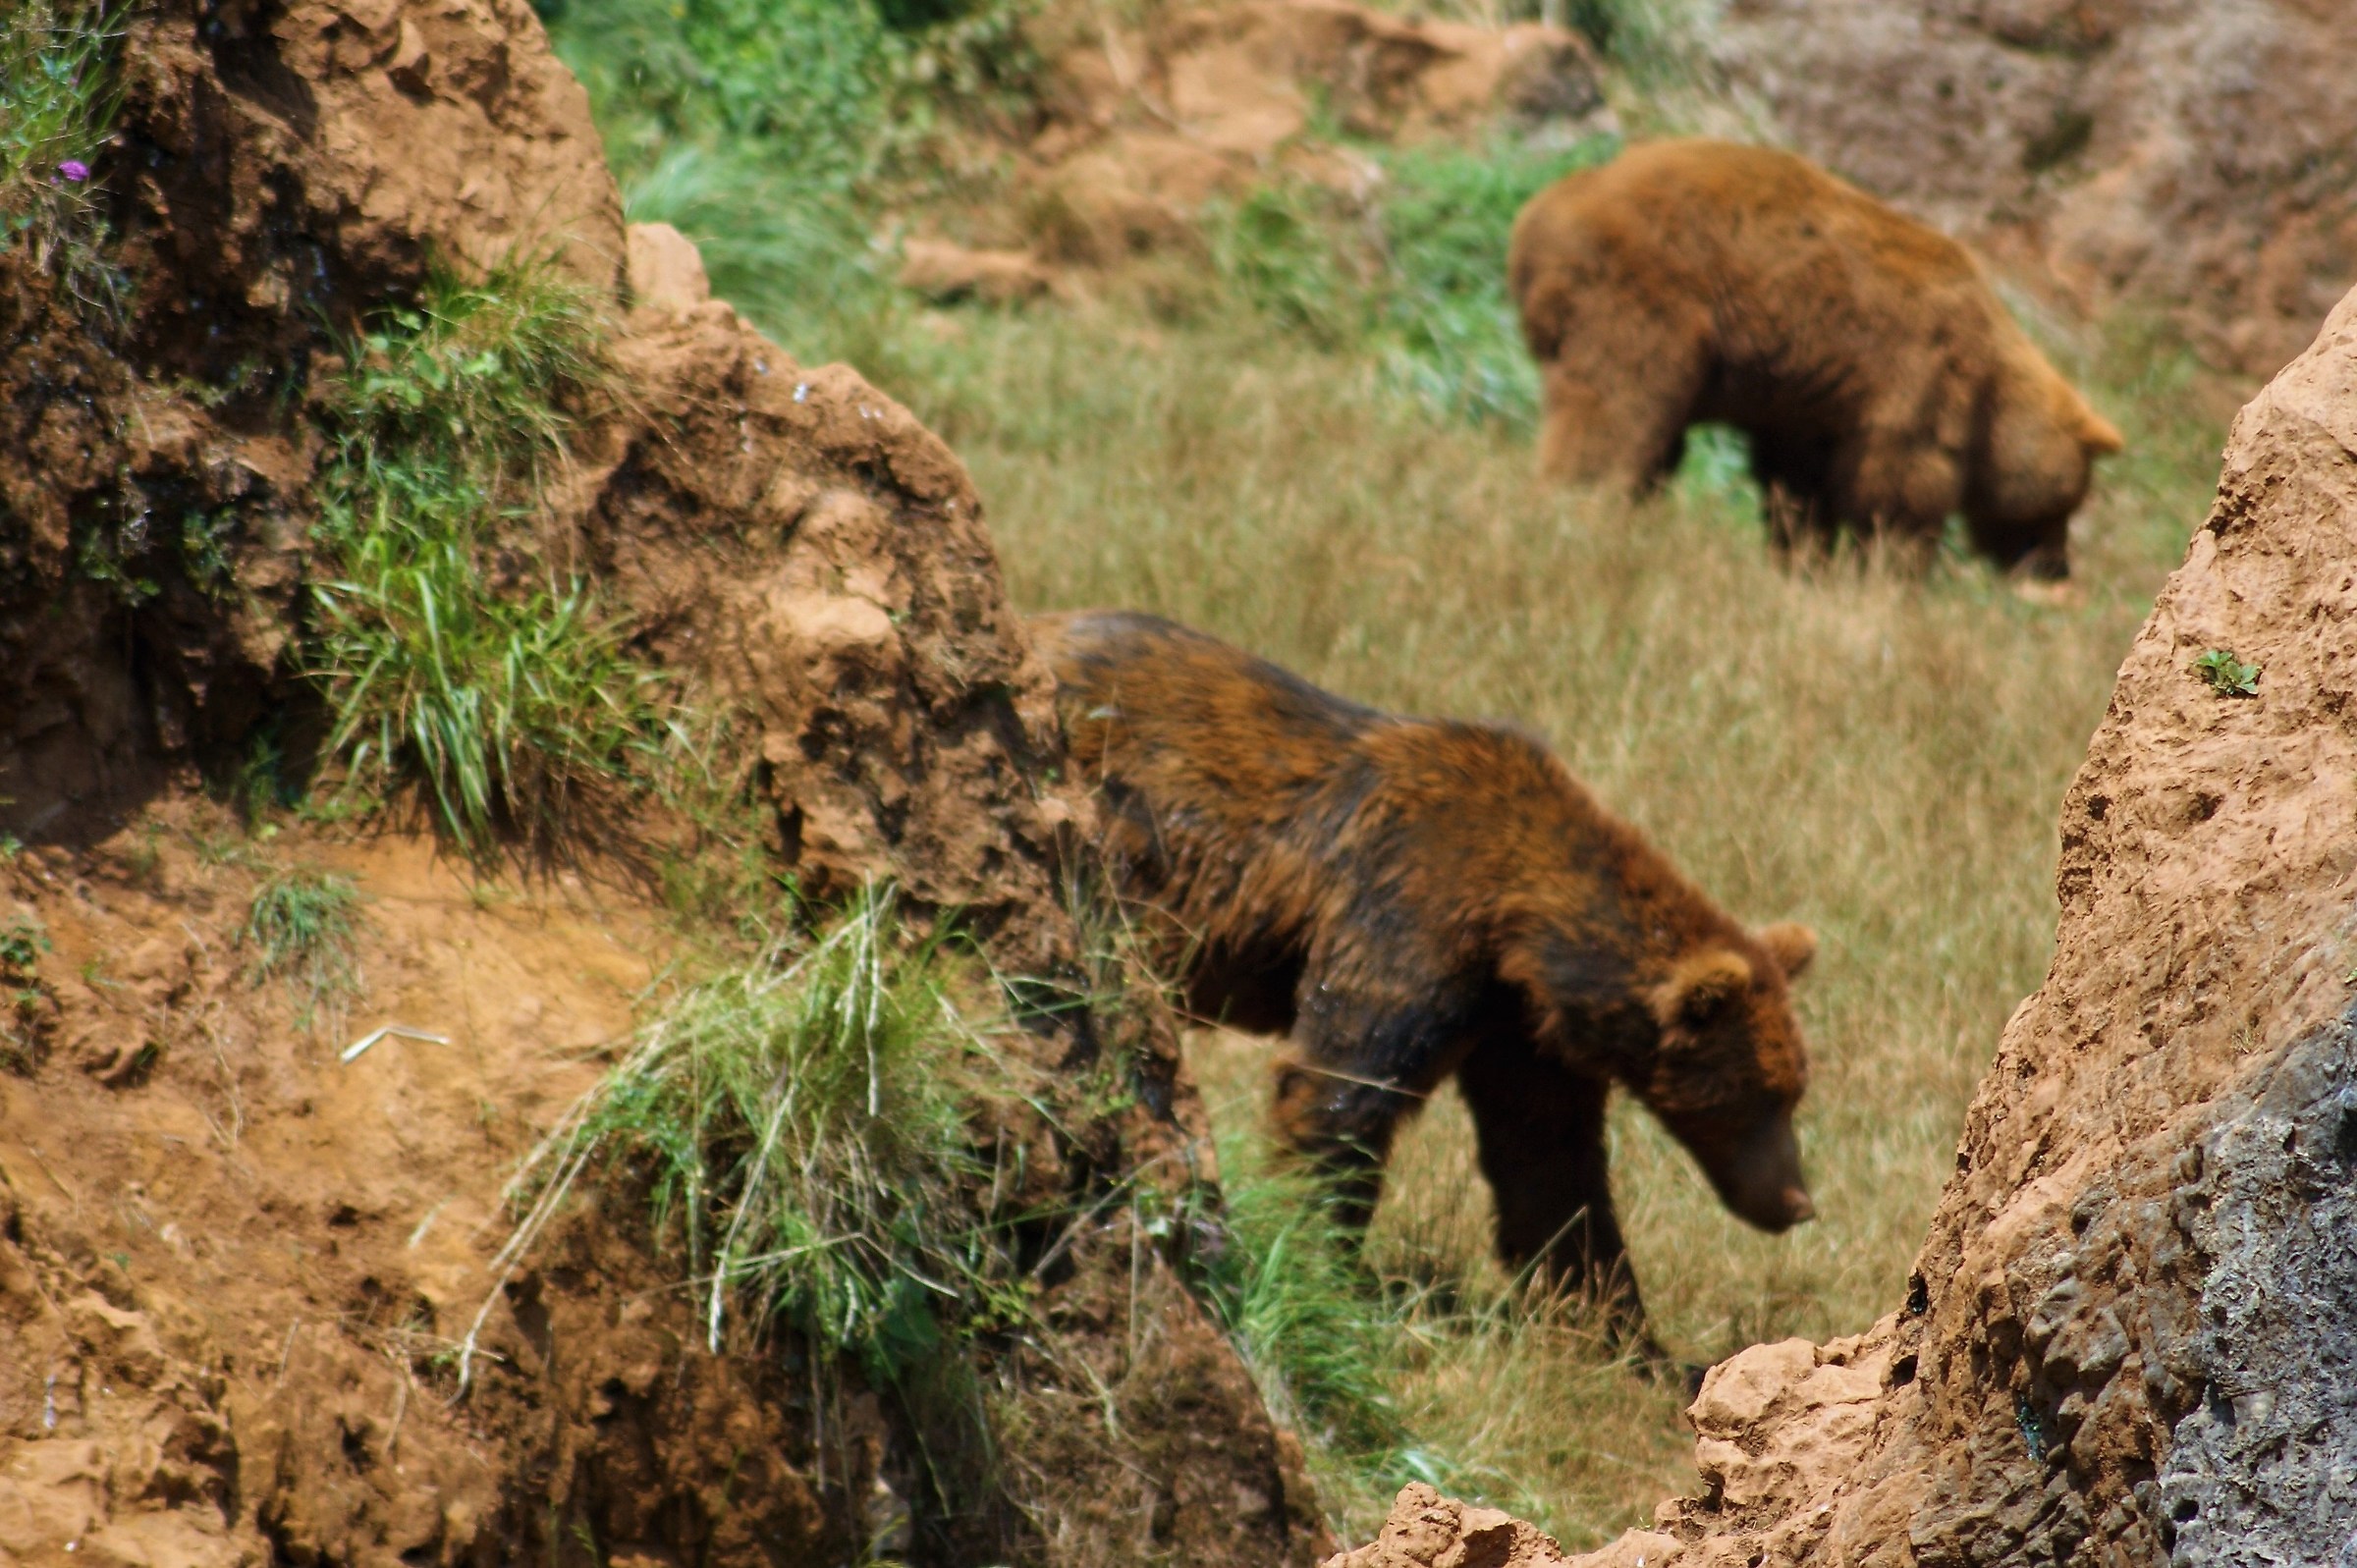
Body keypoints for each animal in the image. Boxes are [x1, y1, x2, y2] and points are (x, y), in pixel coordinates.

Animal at [1033, 608, 1818, 1337]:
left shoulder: (1517, 1027)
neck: (1523, 932)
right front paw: (1321, 1266)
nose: (1798, 1202)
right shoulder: (1411, 914)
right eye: (1758, 1098)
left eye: (1793, 1092)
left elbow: (1551, 1159)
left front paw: (1613, 1325)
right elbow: (1340, 1087)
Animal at [1507, 138, 2125, 580]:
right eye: (2066, 505)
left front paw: (1803, 559)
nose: (2056, 567)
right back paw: (1578, 514)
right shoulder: (1917, 377)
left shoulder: (1809, 403)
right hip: (1644, 299)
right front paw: (1890, 572)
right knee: (1618, 413)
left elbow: (1799, 485)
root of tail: (1537, 219)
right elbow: (1897, 489)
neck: (1992, 391)